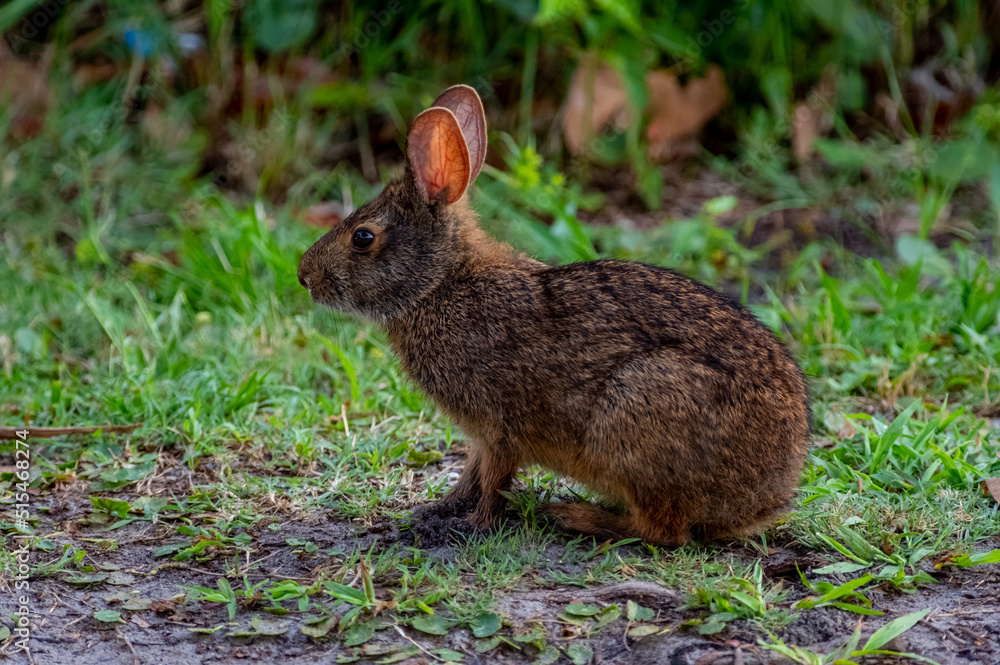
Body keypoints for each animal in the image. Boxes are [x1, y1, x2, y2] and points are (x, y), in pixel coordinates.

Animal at [297, 84, 811, 546]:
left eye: (363, 237)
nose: (304, 277)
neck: (440, 283)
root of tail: (765, 498)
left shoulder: (501, 426)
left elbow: (495, 479)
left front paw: (473, 525)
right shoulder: (482, 435)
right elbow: (472, 472)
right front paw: (439, 508)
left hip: (635, 414)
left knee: (664, 532)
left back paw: (573, 517)